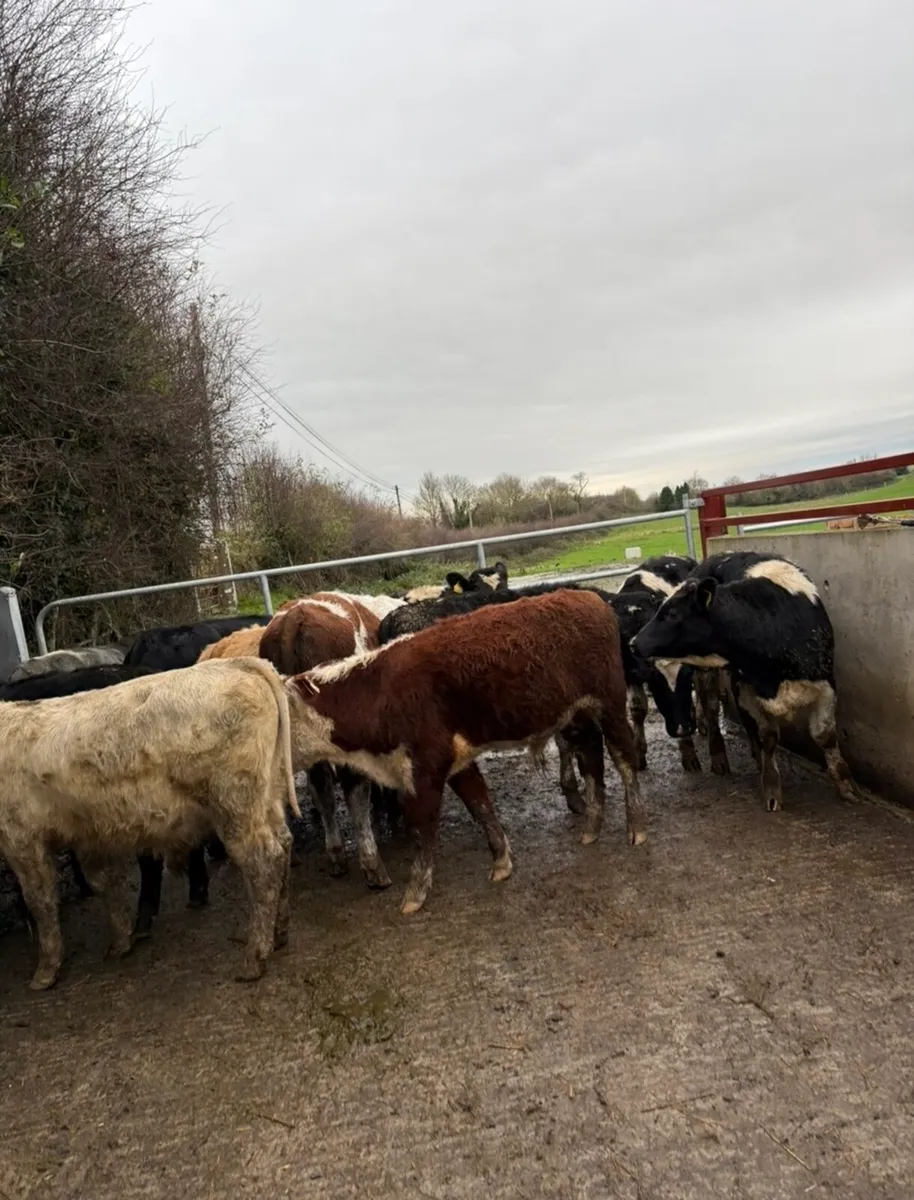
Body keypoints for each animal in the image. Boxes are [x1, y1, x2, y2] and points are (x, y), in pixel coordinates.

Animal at [0, 657, 298, 990]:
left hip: (236, 803)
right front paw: (120, 942)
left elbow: (41, 902)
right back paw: (279, 934)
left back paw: (254, 959)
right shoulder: (87, 834)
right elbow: (103, 883)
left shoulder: (20, 837)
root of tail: (238, 664)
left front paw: (44, 973)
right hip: (268, 794)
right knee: (283, 844)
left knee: (264, 862)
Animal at [285, 589, 646, 916]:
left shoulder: (424, 768)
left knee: (624, 758)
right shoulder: (454, 762)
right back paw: (591, 827)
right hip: (577, 717)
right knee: (592, 760)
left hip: (610, 705)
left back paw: (636, 827)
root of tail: (588, 598)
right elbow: (480, 803)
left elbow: (423, 828)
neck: (380, 692)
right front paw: (501, 861)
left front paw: (414, 895)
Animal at [632, 551, 861, 811]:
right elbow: (768, 736)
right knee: (711, 708)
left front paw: (846, 785)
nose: (634, 642)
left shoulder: (825, 684)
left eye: (671, 614)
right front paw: (771, 786)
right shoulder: (748, 686)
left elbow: (825, 736)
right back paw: (720, 756)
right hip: (710, 673)